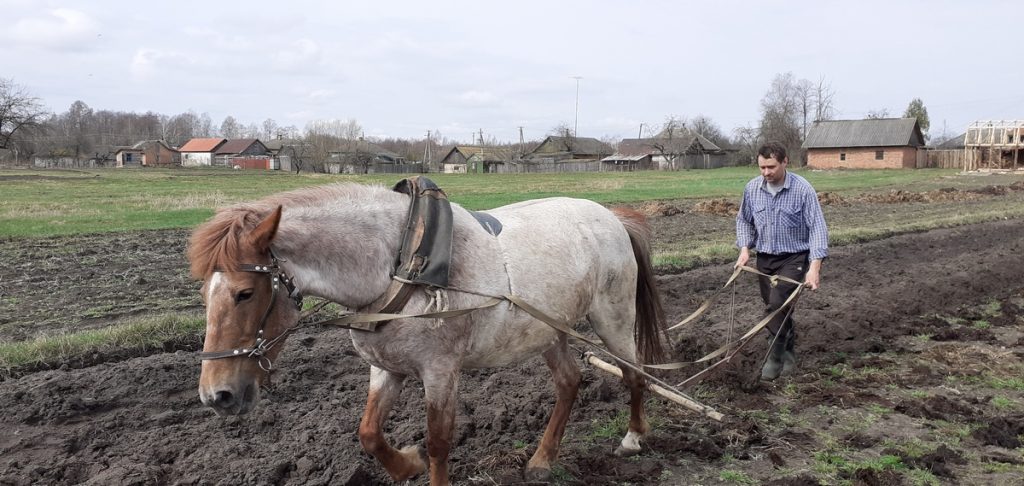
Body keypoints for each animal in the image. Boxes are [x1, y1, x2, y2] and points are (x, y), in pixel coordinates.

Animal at [188, 182, 667, 486]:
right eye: (203, 294)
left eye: (245, 292)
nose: (217, 396)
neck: (401, 264)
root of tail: (610, 215)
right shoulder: (386, 368)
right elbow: (368, 433)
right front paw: (407, 464)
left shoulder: (440, 371)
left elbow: (439, 441)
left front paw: (422, 460)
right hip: (548, 330)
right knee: (569, 382)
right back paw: (542, 460)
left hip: (612, 317)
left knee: (635, 374)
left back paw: (632, 439)